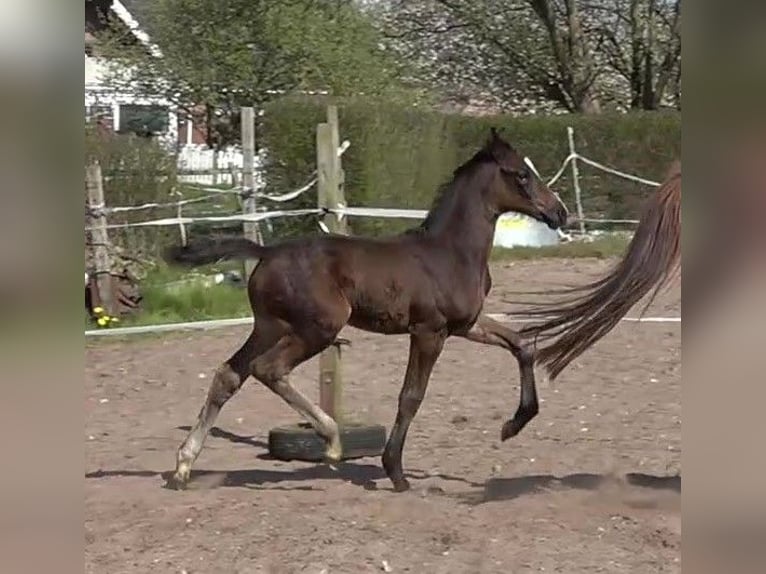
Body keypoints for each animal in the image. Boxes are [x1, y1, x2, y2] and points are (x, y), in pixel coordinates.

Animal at [164, 128, 568, 492]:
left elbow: (522, 345)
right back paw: (331, 440)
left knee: (229, 375)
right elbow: (411, 396)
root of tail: (267, 252)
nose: (559, 212)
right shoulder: (429, 331)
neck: (450, 252)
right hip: (319, 327)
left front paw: (513, 424)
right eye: (522, 174)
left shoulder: (466, 325)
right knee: (269, 369)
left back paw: (184, 466)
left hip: (269, 326)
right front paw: (396, 472)